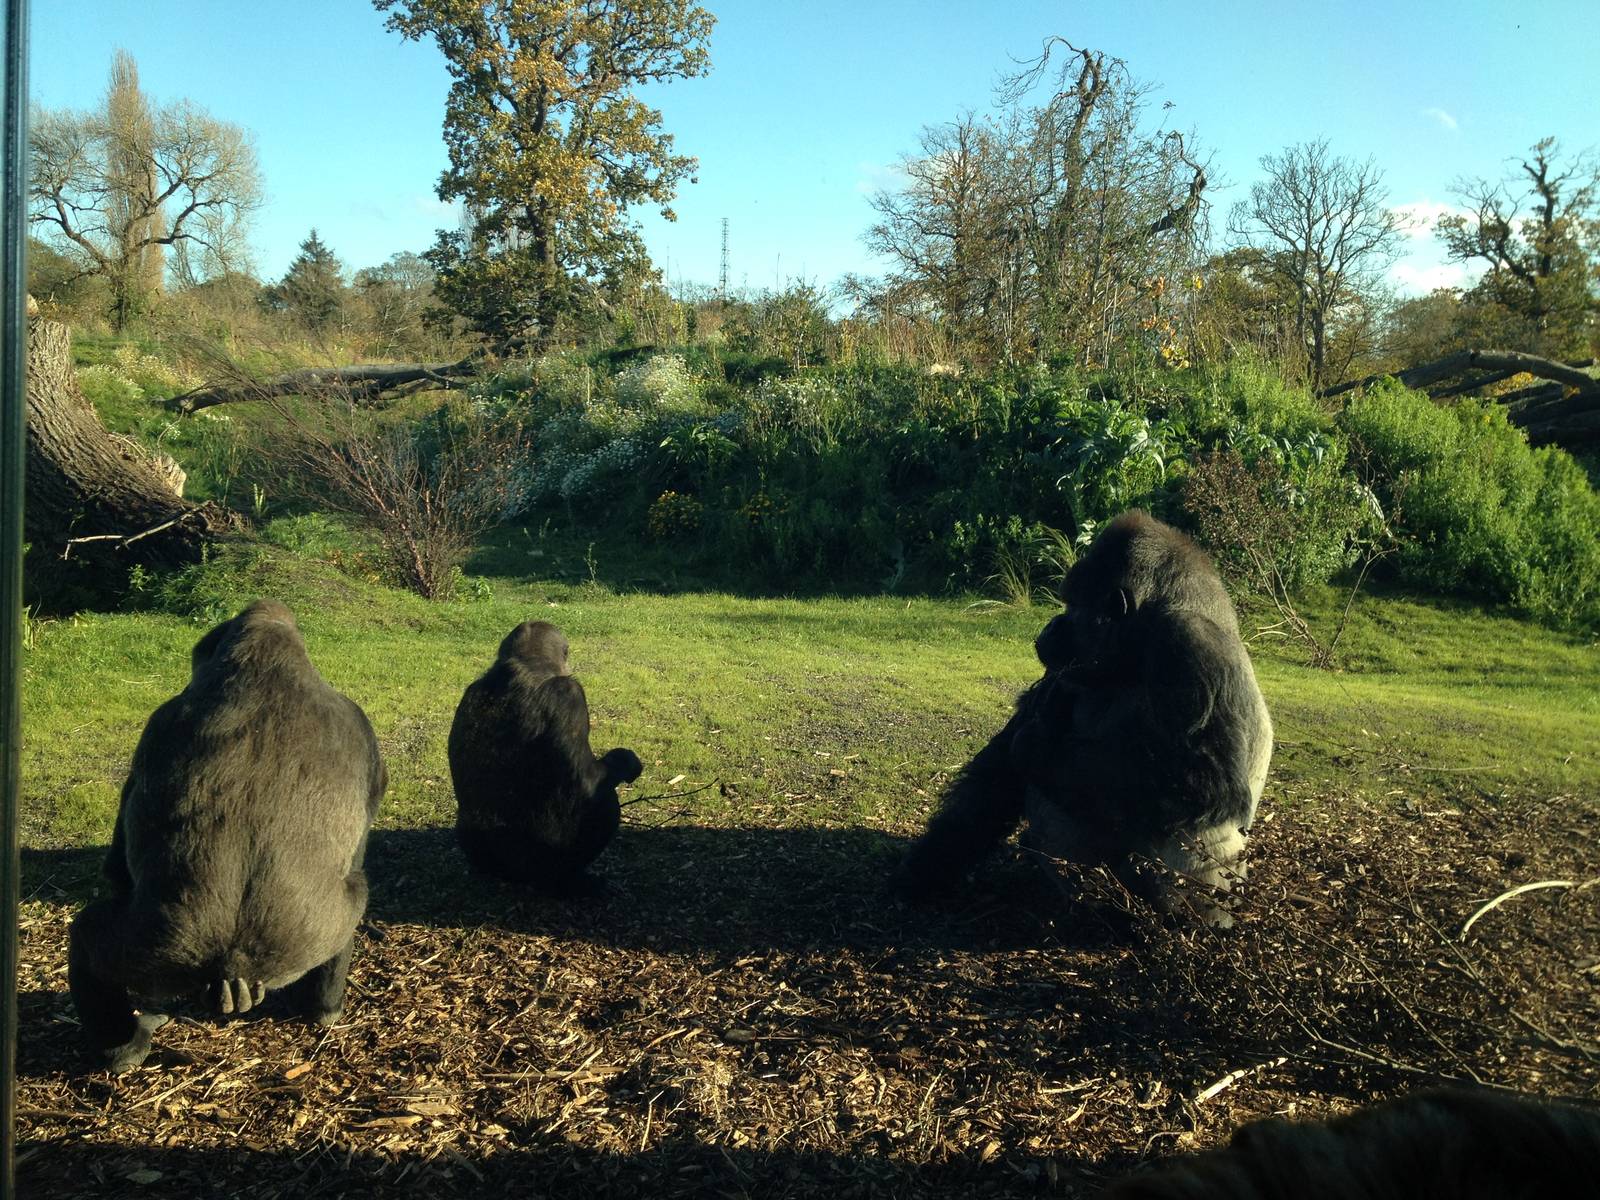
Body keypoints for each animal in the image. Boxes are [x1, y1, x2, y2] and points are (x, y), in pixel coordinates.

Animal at [448, 621, 642, 895]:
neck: (522, 667)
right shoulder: (570, 694)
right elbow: (589, 782)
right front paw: (624, 761)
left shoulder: (470, 692)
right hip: (545, 865)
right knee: (606, 803)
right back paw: (572, 882)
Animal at [897, 511, 1272, 925]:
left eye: (1072, 605)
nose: (1049, 627)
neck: (1140, 643)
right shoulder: (1063, 669)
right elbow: (998, 775)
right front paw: (928, 867)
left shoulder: (1192, 645)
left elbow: (1206, 783)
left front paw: (1035, 745)